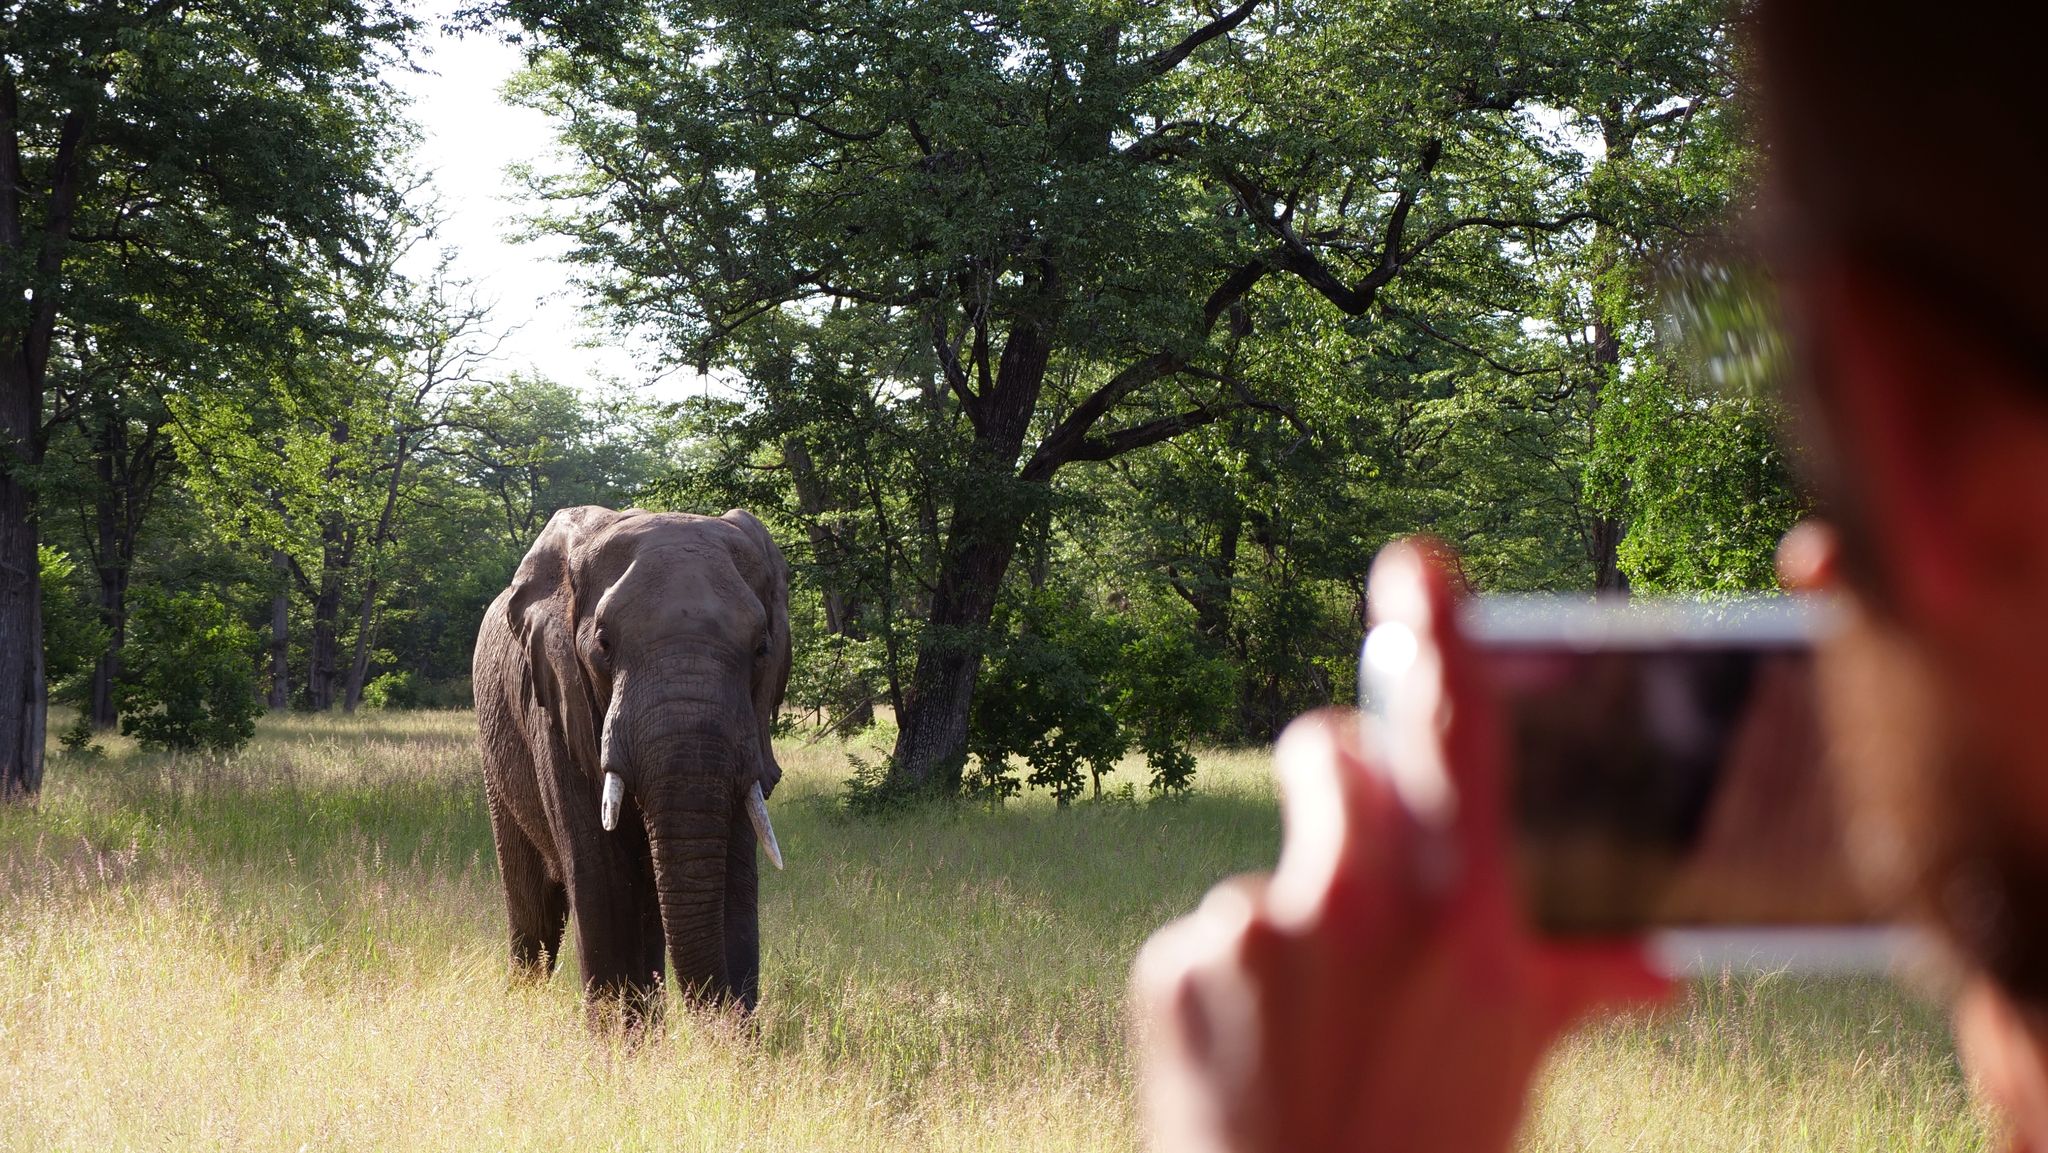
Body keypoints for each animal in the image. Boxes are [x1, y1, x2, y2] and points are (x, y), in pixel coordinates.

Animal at [473, 507, 790, 1019]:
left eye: (762, 648)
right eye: (603, 644)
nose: (719, 1020)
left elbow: (733, 879)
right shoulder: (560, 707)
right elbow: (602, 879)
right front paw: (617, 1041)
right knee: (533, 910)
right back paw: (523, 1003)